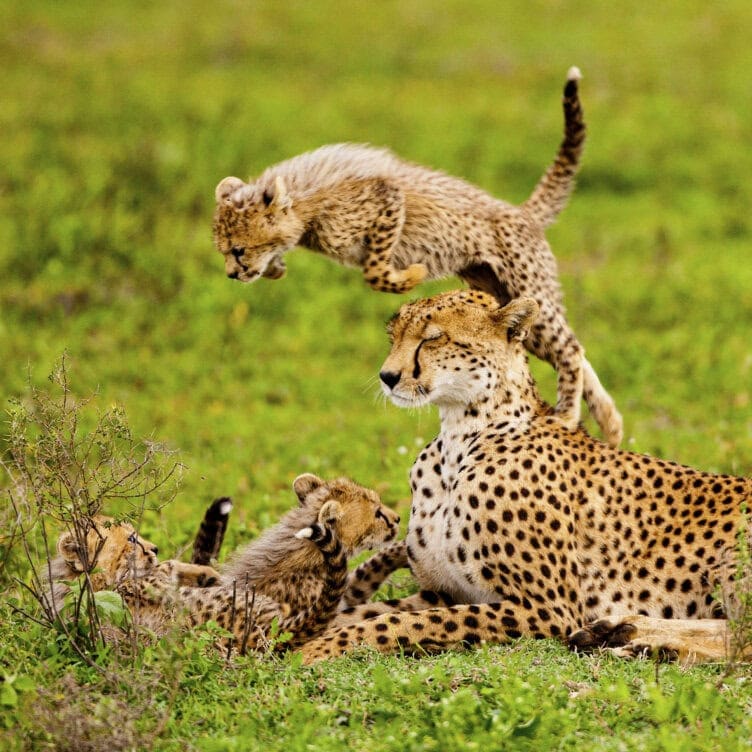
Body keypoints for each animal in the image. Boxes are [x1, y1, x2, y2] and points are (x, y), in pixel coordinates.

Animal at [212, 67, 623, 448]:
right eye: (224, 251)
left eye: (238, 250)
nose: (233, 274)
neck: (303, 203)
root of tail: (521, 213)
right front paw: (277, 267)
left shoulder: (387, 198)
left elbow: (375, 270)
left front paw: (409, 275)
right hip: (507, 305)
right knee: (571, 348)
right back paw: (610, 420)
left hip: (526, 286)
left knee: (569, 348)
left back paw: (568, 415)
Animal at [298, 290, 752, 665]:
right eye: (394, 337)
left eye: (433, 338)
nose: (387, 376)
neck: (459, 438)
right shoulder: (439, 591)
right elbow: (367, 612)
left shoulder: (546, 609)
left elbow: (394, 624)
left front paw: (317, 648)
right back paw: (625, 633)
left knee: (744, 641)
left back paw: (646, 641)